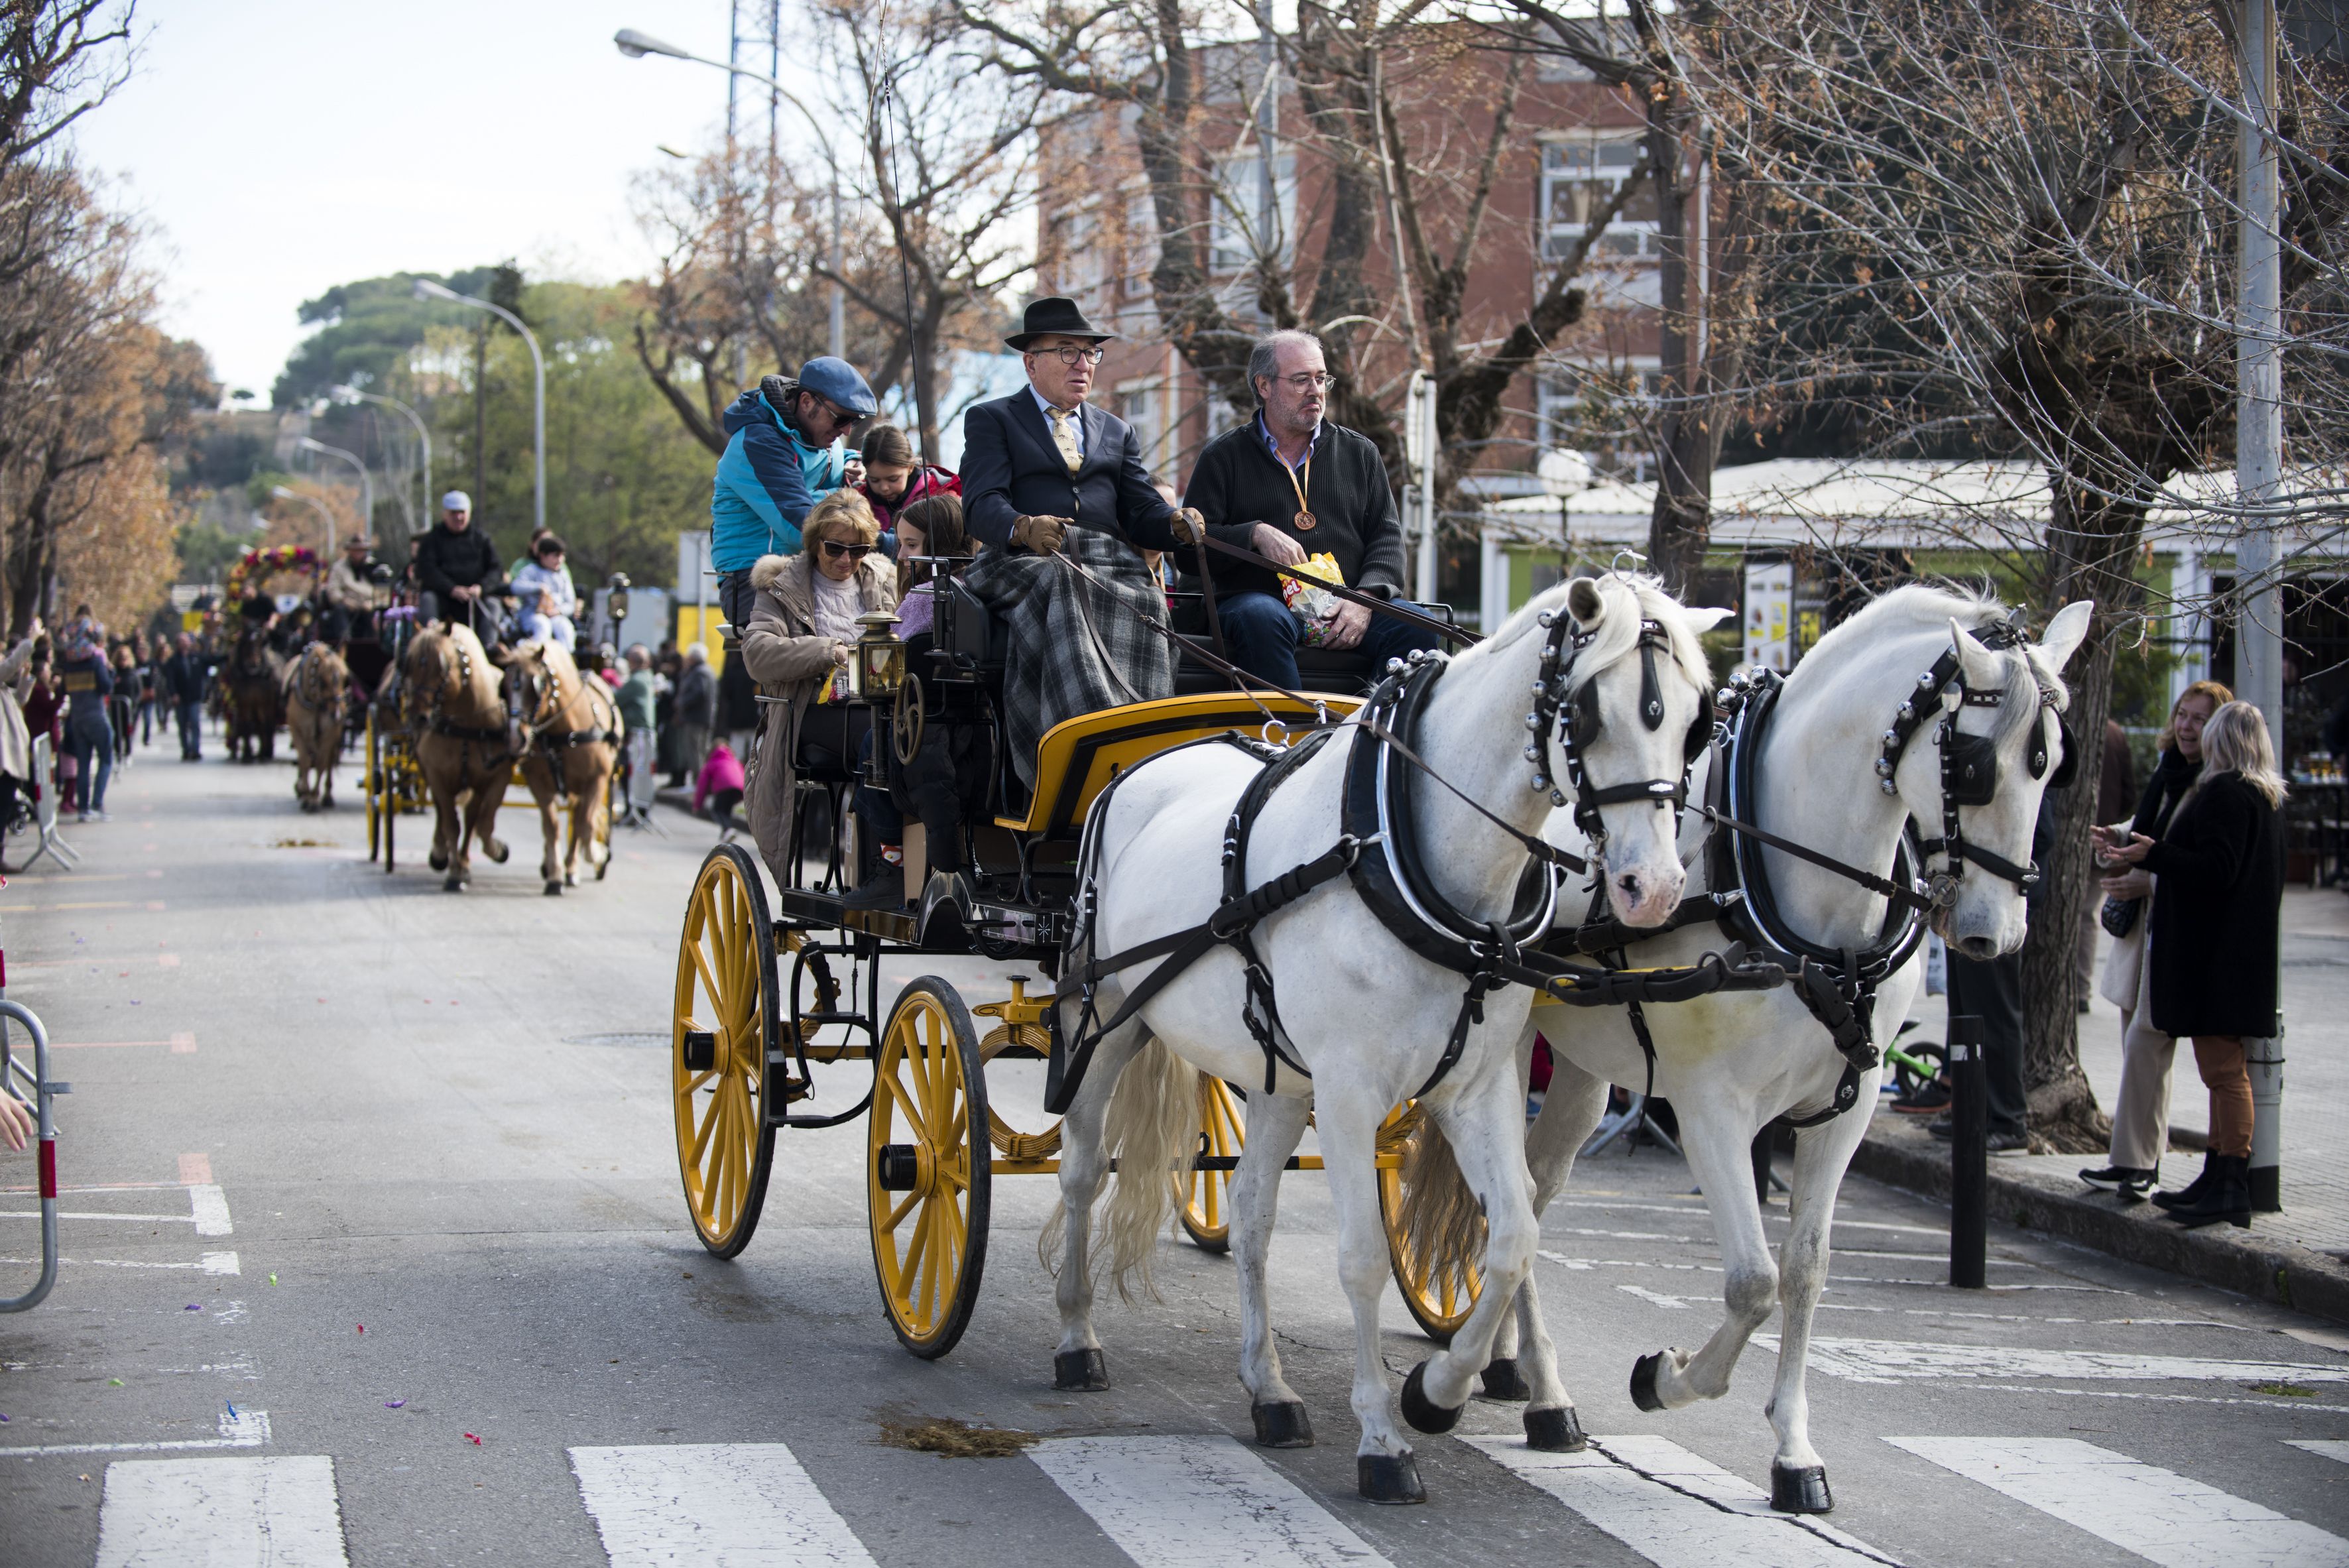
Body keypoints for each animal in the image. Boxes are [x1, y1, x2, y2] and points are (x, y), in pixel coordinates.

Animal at [282, 638, 345, 817]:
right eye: (322, 681)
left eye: (344, 678)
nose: (336, 716)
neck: (316, 702)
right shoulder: (298, 731)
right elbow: (304, 761)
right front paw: (306, 796)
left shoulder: (330, 734)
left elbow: (321, 763)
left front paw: (314, 798)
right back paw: (302, 788)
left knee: (329, 761)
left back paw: (327, 795)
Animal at [404, 624, 514, 892]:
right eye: (408, 664)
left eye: (441, 666)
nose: (418, 716)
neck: (467, 725)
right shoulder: (439, 779)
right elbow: (451, 824)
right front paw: (453, 870)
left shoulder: (495, 779)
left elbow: (481, 822)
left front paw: (494, 851)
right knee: (442, 814)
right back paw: (441, 854)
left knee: (471, 816)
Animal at [503, 638, 620, 892]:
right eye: (504, 687)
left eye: (535, 686)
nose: (515, 739)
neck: (566, 730)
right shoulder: (540, 784)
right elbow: (552, 827)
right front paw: (555, 875)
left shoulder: (597, 780)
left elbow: (587, 825)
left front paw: (598, 854)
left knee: (580, 819)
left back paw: (574, 867)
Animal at [1048, 570, 1728, 1502]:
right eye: (1590, 712)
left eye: (1698, 719)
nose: (1652, 887)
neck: (1402, 847)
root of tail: (1142, 770)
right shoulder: (1347, 1091)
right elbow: (1364, 1257)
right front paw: (1381, 1436)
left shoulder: (1474, 1087)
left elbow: (1513, 1237)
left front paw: (1440, 1392)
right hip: (1108, 1019)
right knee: (1082, 1170)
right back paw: (1077, 1338)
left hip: (1273, 1074)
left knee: (1251, 1213)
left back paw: (1270, 1390)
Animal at [1400, 582, 2086, 1512]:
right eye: (1975, 763)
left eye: (2053, 765)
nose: (1994, 934)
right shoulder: (1709, 1110)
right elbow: (1752, 1282)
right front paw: (1666, 1377)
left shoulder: (1847, 1109)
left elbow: (1804, 1268)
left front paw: (1794, 1451)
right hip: (1499, 1052)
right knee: (1510, 1204)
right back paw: (1540, 1390)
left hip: (1580, 1071)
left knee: (1535, 1191)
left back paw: (1519, 1374)